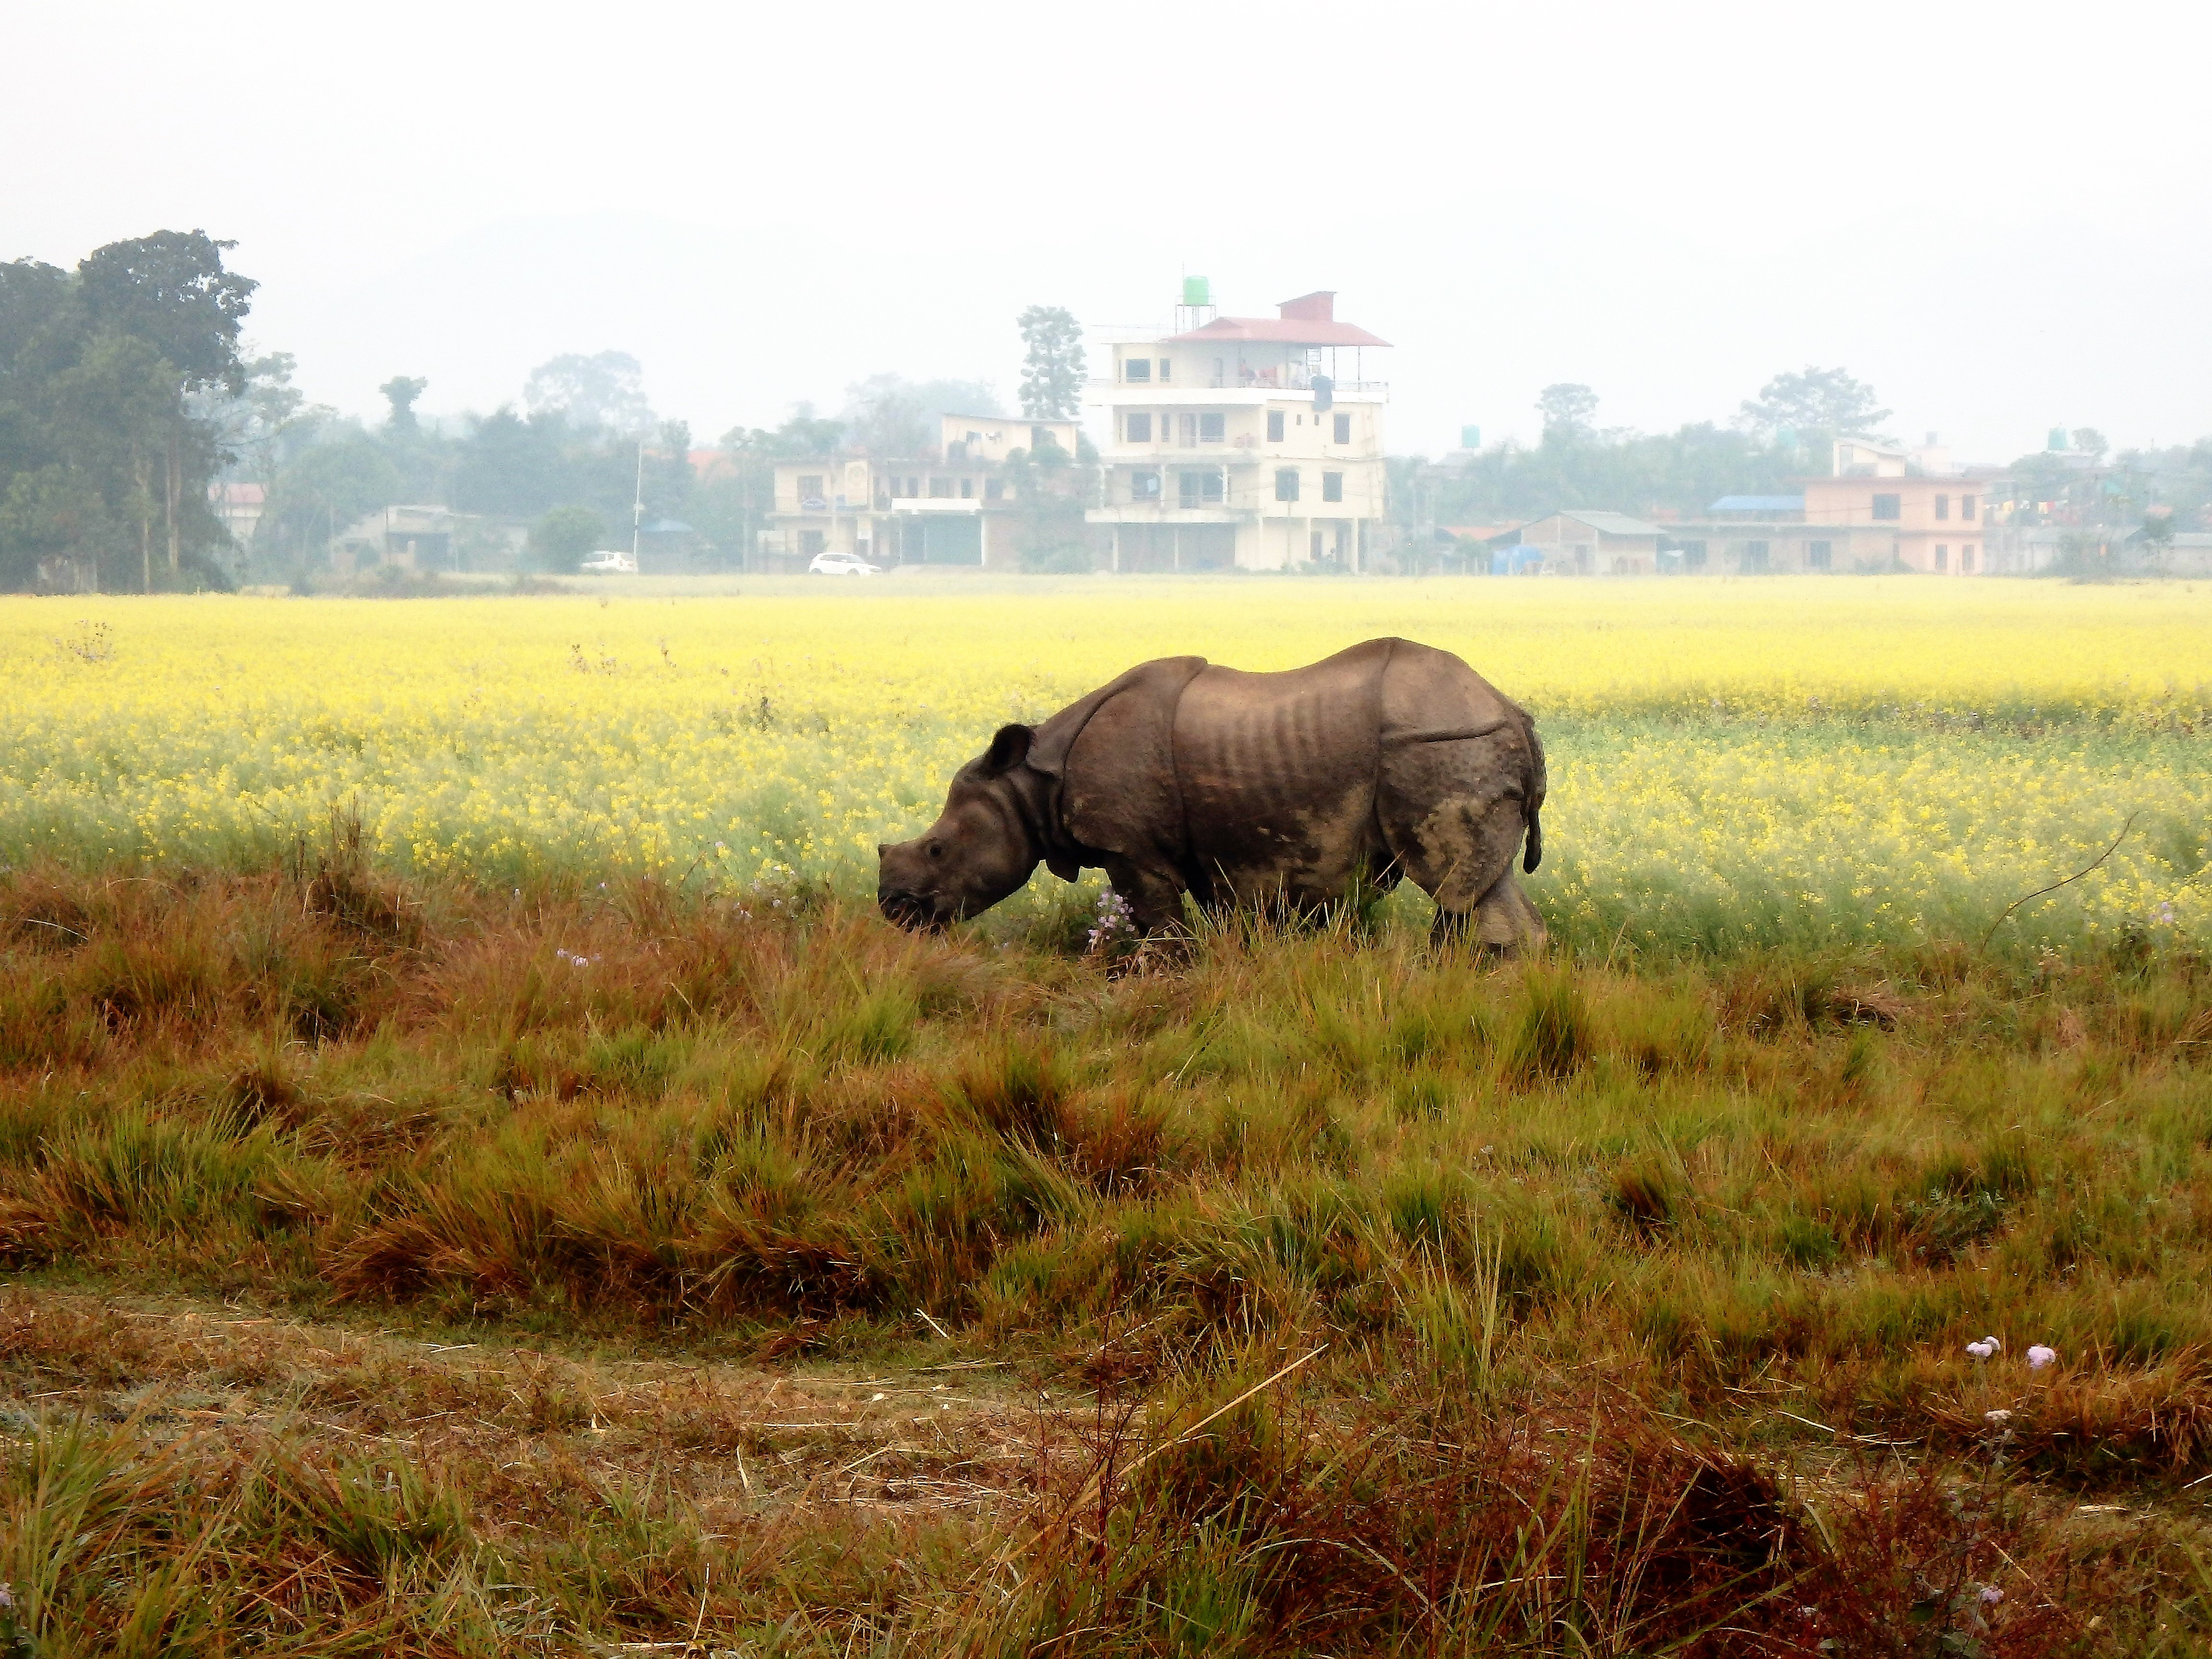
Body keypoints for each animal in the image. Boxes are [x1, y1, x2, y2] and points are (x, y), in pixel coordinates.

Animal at [876, 637, 1547, 949]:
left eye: (937, 851)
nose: (892, 909)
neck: (1031, 785)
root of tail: (1513, 711)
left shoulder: (1130, 848)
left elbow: (1158, 925)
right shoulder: (1219, 852)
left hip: (1442, 741)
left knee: (1454, 882)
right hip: (1455, 737)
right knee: (1472, 888)